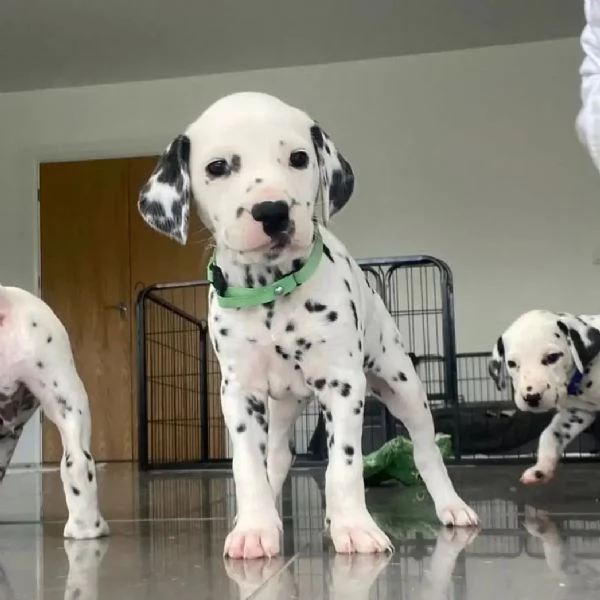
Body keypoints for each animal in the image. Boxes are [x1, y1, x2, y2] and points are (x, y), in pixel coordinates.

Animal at [136, 91, 478, 560]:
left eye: (299, 158)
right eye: (218, 167)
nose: (273, 212)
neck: (271, 291)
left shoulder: (343, 385)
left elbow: (345, 464)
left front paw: (355, 526)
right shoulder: (239, 393)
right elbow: (248, 467)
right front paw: (254, 528)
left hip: (402, 386)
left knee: (425, 451)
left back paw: (450, 506)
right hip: (281, 408)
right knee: (278, 458)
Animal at [488, 310, 600, 482]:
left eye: (553, 357)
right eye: (512, 363)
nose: (531, 397)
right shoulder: (576, 413)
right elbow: (550, 434)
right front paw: (541, 468)